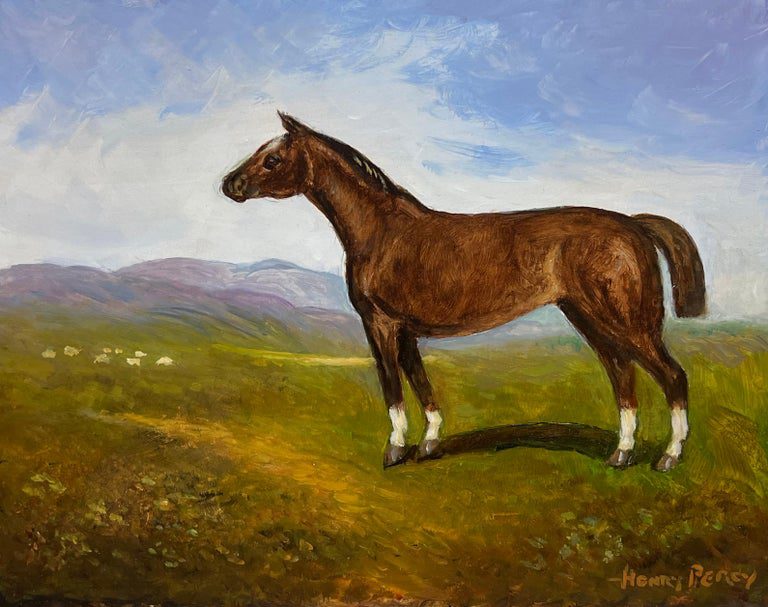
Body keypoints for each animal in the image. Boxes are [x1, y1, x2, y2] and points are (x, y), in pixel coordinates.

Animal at [221, 111, 706, 472]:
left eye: (273, 159)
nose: (229, 185)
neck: (383, 232)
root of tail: (634, 225)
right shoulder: (407, 330)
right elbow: (421, 382)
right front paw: (430, 444)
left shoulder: (380, 324)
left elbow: (392, 384)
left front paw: (395, 451)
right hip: (589, 319)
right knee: (622, 377)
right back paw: (620, 455)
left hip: (626, 321)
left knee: (672, 376)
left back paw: (668, 457)